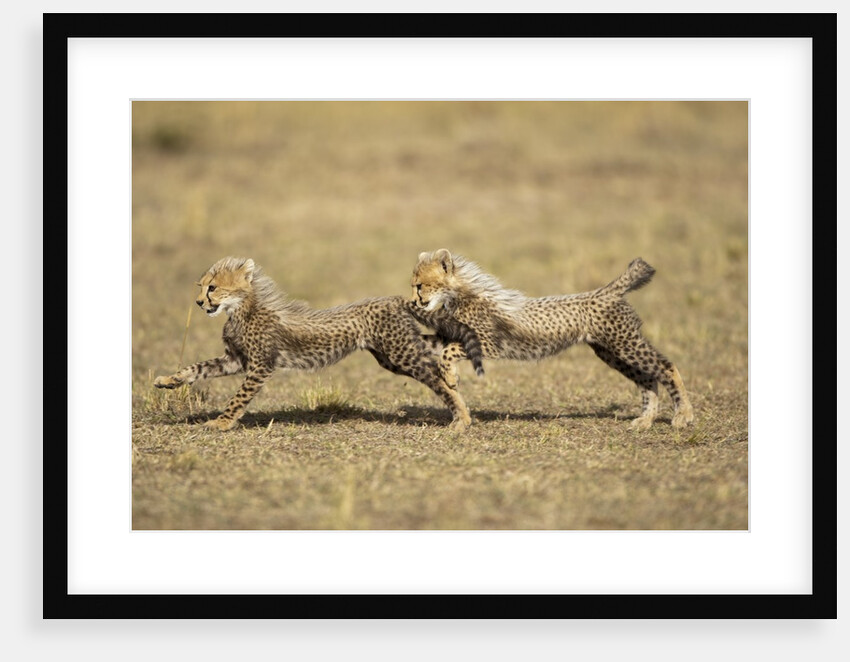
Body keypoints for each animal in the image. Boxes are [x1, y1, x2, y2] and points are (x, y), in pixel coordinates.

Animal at [154, 256, 483, 431]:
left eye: (213, 288)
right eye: (202, 287)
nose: (199, 302)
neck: (241, 309)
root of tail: (394, 298)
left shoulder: (260, 365)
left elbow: (238, 397)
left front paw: (221, 423)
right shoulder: (235, 359)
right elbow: (197, 368)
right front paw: (168, 380)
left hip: (402, 354)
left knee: (437, 376)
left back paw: (462, 416)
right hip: (391, 356)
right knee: (442, 360)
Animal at [410, 249, 694, 430]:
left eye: (419, 285)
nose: (413, 301)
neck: (458, 295)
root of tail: (605, 291)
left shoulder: (488, 345)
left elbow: (449, 352)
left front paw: (450, 376)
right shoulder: (448, 337)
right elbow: (433, 343)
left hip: (624, 345)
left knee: (667, 367)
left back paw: (684, 415)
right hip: (611, 352)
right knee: (648, 379)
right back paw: (646, 421)